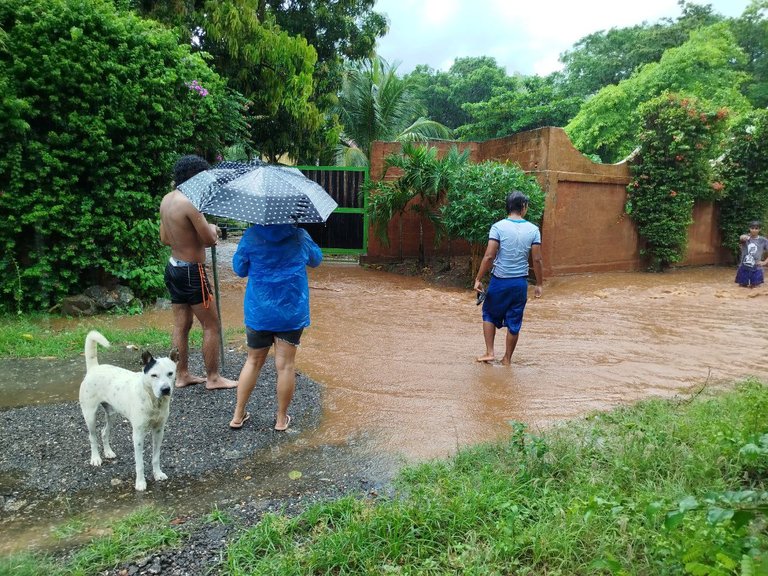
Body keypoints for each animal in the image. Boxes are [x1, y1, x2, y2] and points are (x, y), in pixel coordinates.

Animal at [79, 328, 178, 490]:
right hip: (90, 415)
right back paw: (96, 458)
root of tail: (94, 368)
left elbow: (156, 457)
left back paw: (108, 452)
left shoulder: (159, 430)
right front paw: (140, 483)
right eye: (154, 375)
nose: (165, 389)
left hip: (111, 414)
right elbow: (139, 463)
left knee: (104, 432)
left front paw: (157, 474)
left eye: (170, 373)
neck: (152, 400)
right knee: (92, 436)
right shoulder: (138, 434)